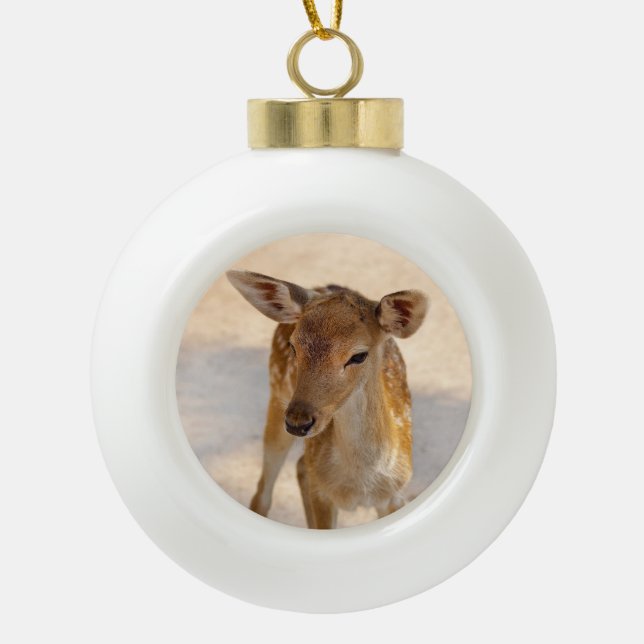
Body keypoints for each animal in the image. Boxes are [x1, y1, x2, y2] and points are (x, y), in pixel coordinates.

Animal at [226, 270, 429, 529]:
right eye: (293, 346)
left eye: (359, 355)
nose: (298, 421)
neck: (360, 484)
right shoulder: (322, 494)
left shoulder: (395, 495)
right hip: (276, 396)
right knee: (263, 492)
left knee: (301, 466)